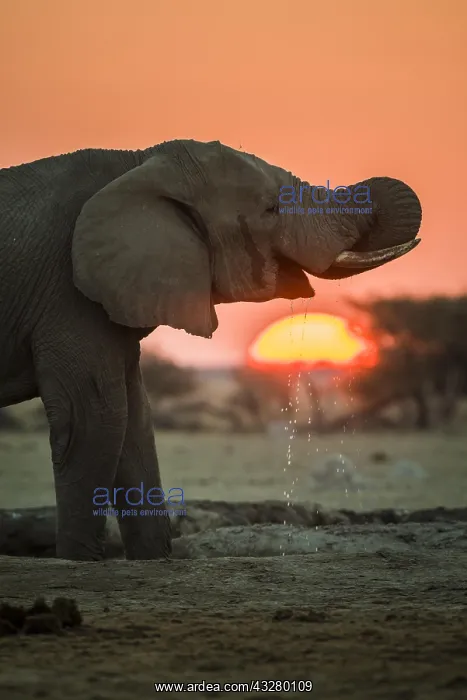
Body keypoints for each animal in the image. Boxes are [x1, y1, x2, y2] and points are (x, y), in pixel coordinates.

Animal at [0, 139, 422, 561]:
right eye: (270, 209)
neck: (138, 162)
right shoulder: (66, 294)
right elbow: (93, 418)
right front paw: (79, 561)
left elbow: (134, 420)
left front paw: (155, 560)